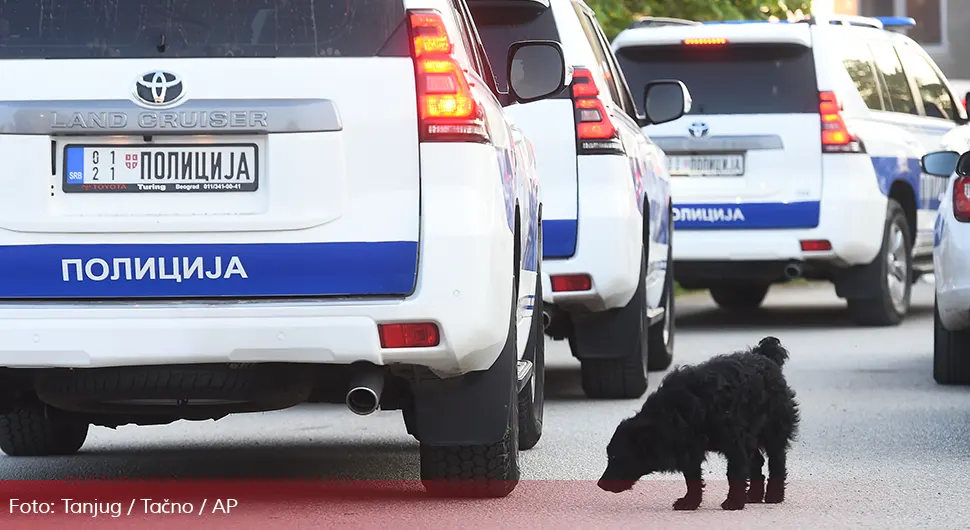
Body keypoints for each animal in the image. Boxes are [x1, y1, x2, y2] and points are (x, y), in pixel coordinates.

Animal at [592, 336, 796, 510]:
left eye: (616, 457)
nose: (600, 484)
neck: (675, 413)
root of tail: (763, 355)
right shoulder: (689, 446)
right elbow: (692, 477)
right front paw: (691, 501)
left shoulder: (733, 443)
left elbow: (735, 473)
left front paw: (734, 501)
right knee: (756, 461)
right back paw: (754, 495)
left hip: (774, 429)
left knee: (777, 460)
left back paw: (774, 495)